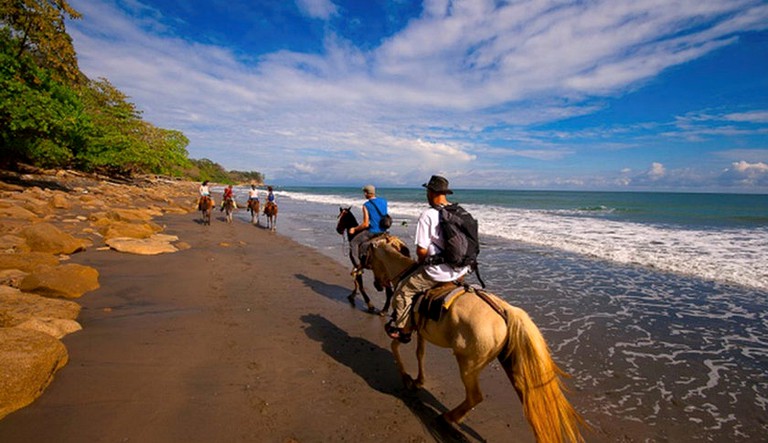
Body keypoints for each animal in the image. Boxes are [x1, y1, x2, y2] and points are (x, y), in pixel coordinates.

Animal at [364, 238, 584, 443]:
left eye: (370, 258)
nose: (376, 285)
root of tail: (504, 311)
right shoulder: (420, 331)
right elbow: (420, 354)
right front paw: (418, 380)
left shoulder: (406, 328)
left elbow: (394, 346)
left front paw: (406, 379)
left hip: (468, 364)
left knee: (474, 397)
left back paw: (447, 418)